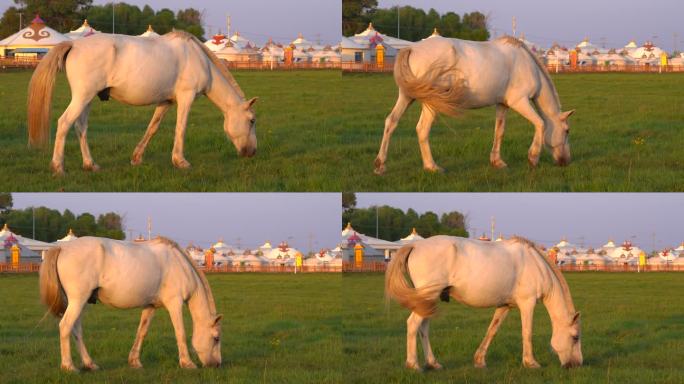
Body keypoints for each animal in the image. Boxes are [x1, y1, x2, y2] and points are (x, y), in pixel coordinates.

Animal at [26, 31, 256, 174]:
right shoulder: (186, 97)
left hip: (87, 99)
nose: (252, 152)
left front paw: (136, 158)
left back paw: (90, 165)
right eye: (252, 120)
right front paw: (180, 161)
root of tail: (74, 43)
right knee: (64, 123)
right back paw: (58, 167)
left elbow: (152, 128)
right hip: (83, 97)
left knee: (80, 127)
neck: (200, 60)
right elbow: (180, 129)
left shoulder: (166, 102)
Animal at [39, 236, 222, 370]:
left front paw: (134, 361)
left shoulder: (150, 306)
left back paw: (89, 364)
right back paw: (68, 366)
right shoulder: (175, 304)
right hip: (78, 301)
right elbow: (180, 333)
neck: (179, 264)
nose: (217, 364)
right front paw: (187, 363)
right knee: (65, 326)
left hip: (82, 303)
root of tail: (63, 248)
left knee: (76, 329)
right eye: (216, 338)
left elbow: (142, 332)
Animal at [376, 36, 576, 174]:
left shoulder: (502, 105)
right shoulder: (519, 102)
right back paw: (432, 167)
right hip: (430, 102)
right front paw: (533, 158)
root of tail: (412, 48)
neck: (526, 64)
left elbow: (499, 131)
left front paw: (497, 162)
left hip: (406, 96)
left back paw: (380, 165)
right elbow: (540, 124)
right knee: (422, 129)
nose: (566, 161)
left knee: (391, 122)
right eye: (567, 131)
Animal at [384, 236, 584, 370]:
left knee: (423, 328)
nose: (577, 364)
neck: (535, 264)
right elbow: (527, 332)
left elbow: (492, 330)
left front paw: (479, 360)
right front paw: (531, 362)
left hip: (426, 302)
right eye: (575, 337)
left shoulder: (505, 306)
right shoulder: (527, 304)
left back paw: (433, 363)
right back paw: (413, 365)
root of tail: (415, 244)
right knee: (413, 324)